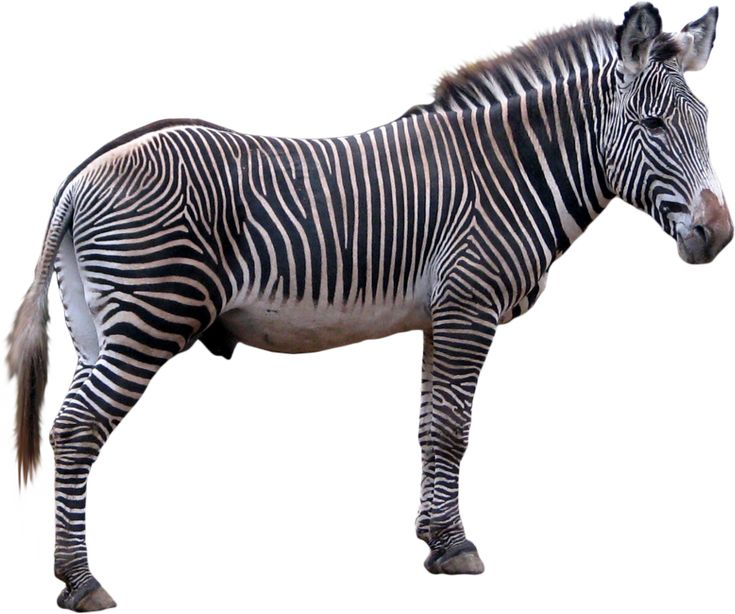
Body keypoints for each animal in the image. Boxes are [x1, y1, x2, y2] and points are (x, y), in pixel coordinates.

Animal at [7, 3, 731, 611]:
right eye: (653, 125)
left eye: (703, 125)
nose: (718, 234)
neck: (511, 172)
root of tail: (82, 174)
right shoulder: (469, 306)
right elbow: (454, 430)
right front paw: (458, 549)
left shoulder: (442, 316)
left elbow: (430, 428)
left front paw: (434, 539)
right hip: (149, 319)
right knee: (77, 430)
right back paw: (82, 582)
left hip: (94, 329)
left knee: (70, 426)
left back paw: (69, 573)